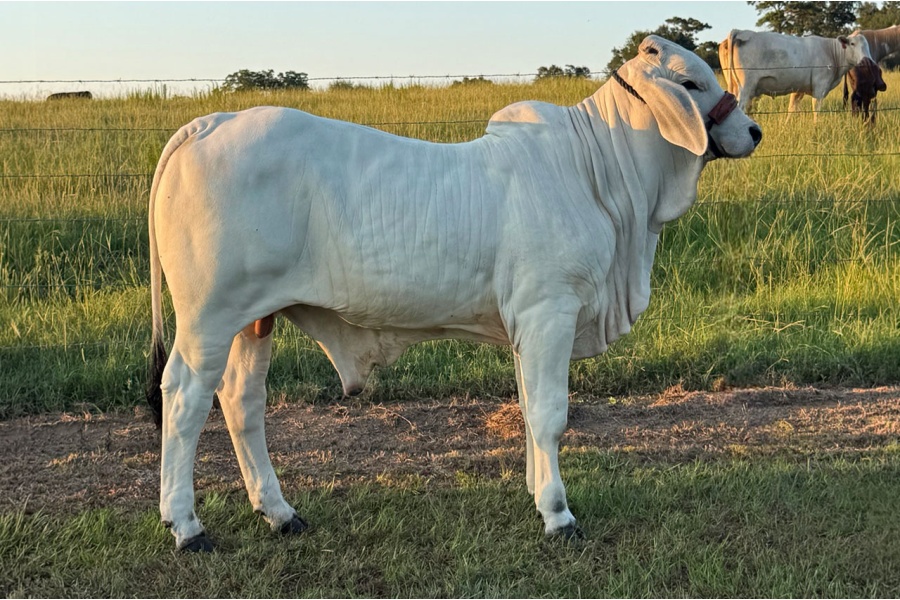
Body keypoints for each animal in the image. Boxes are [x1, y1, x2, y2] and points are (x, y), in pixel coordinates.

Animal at [146, 35, 762, 552]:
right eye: (691, 83)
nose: (754, 131)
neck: (600, 171)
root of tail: (209, 122)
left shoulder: (525, 327)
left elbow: (528, 408)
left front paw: (537, 495)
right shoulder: (550, 312)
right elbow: (550, 415)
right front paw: (558, 515)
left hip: (255, 318)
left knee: (241, 401)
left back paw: (279, 512)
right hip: (207, 319)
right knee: (184, 399)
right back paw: (186, 526)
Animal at [719, 29, 872, 119]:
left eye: (868, 45)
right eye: (852, 44)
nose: (866, 60)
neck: (831, 52)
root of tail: (741, 31)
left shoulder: (798, 89)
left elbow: (791, 109)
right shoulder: (820, 88)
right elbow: (816, 111)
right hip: (746, 87)